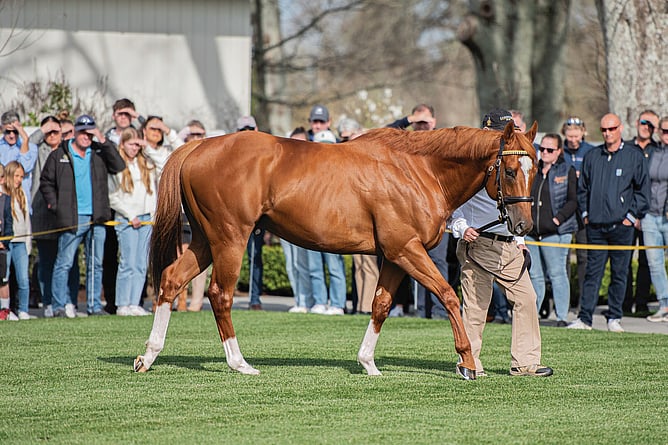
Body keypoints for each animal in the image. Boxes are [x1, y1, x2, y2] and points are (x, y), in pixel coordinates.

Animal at [134, 121, 538, 380]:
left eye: (535, 169)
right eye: (511, 169)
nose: (523, 227)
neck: (417, 170)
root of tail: (198, 145)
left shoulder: (395, 256)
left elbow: (380, 305)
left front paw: (368, 363)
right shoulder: (406, 250)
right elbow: (449, 296)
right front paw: (467, 362)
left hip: (205, 240)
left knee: (170, 280)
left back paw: (148, 355)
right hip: (230, 238)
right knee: (220, 294)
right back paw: (239, 363)